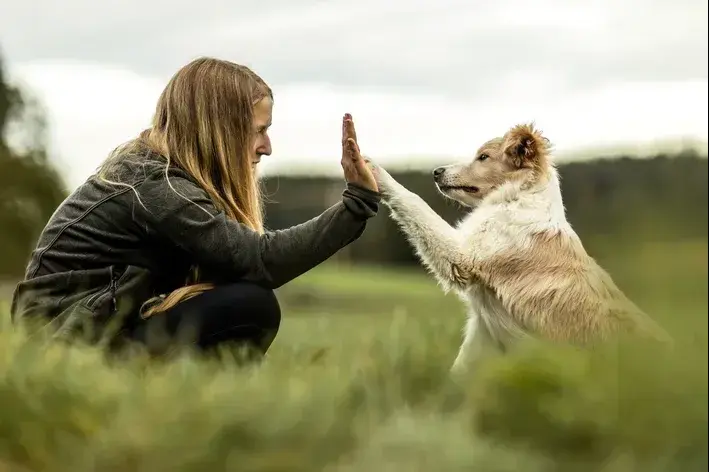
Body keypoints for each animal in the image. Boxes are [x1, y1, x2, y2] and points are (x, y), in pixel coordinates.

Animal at [368, 123, 668, 374]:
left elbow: (415, 202)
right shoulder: (483, 331)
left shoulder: (462, 257)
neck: (517, 197)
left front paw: (375, 171)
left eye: (483, 157)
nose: (436, 172)